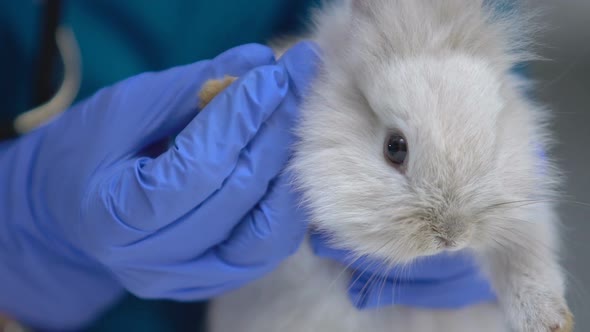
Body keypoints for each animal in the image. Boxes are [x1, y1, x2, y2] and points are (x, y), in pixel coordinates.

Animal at [201, 0, 576, 332]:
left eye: (490, 140)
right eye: (395, 148)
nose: (452, 237)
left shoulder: (524, 216)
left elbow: (524, 261)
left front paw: (551, 321)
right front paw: (216, 91)